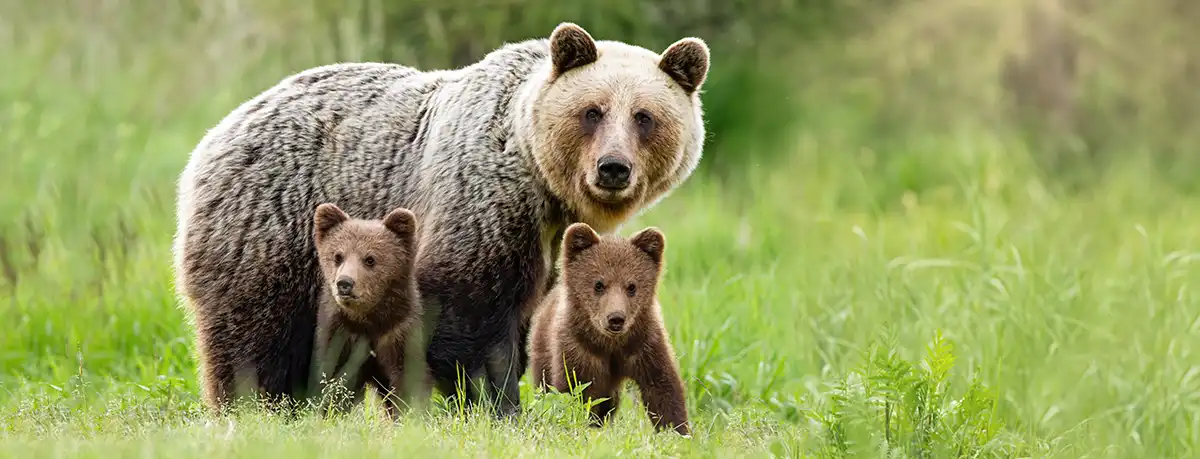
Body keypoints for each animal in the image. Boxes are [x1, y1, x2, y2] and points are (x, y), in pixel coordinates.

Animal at [307, 202, 426, 418]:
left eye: (370, 259)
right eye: (338, 256)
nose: (345, 283)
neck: (368, 322)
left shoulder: (398, 334)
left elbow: (408, 381)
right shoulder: (340, 335)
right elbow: (333, 380)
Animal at [529, 222, 690, 436]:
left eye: (631, 286)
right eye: (599, 284)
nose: (615, 318)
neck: (610, 345)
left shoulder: (645, 345)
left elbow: (663, 388)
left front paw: (677, 431)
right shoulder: (578, 350)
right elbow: (573, 391)